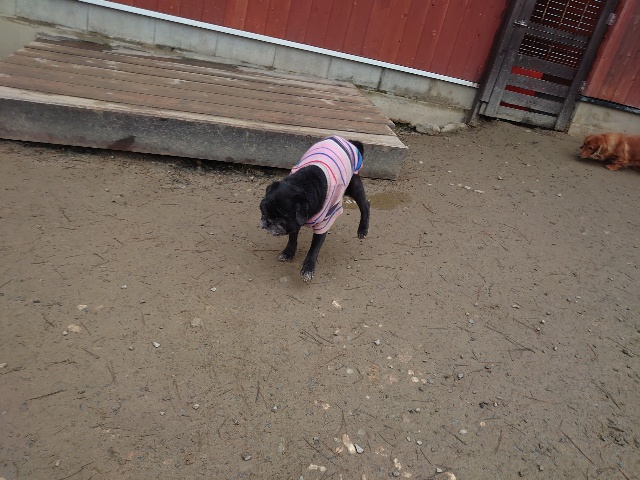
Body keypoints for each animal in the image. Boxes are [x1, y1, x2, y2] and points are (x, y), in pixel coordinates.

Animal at [260, 136, 370, 282]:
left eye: (281, 218)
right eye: (263, 211)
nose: (268, 221)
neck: (303, 184)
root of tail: (348, 142)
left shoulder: (323, 224)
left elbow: (313, 249)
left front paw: (308, 268)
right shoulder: (295, 223)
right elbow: (292, 238)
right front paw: (288, 252)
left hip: (353, 186)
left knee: (365, 205)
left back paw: (362, 229)